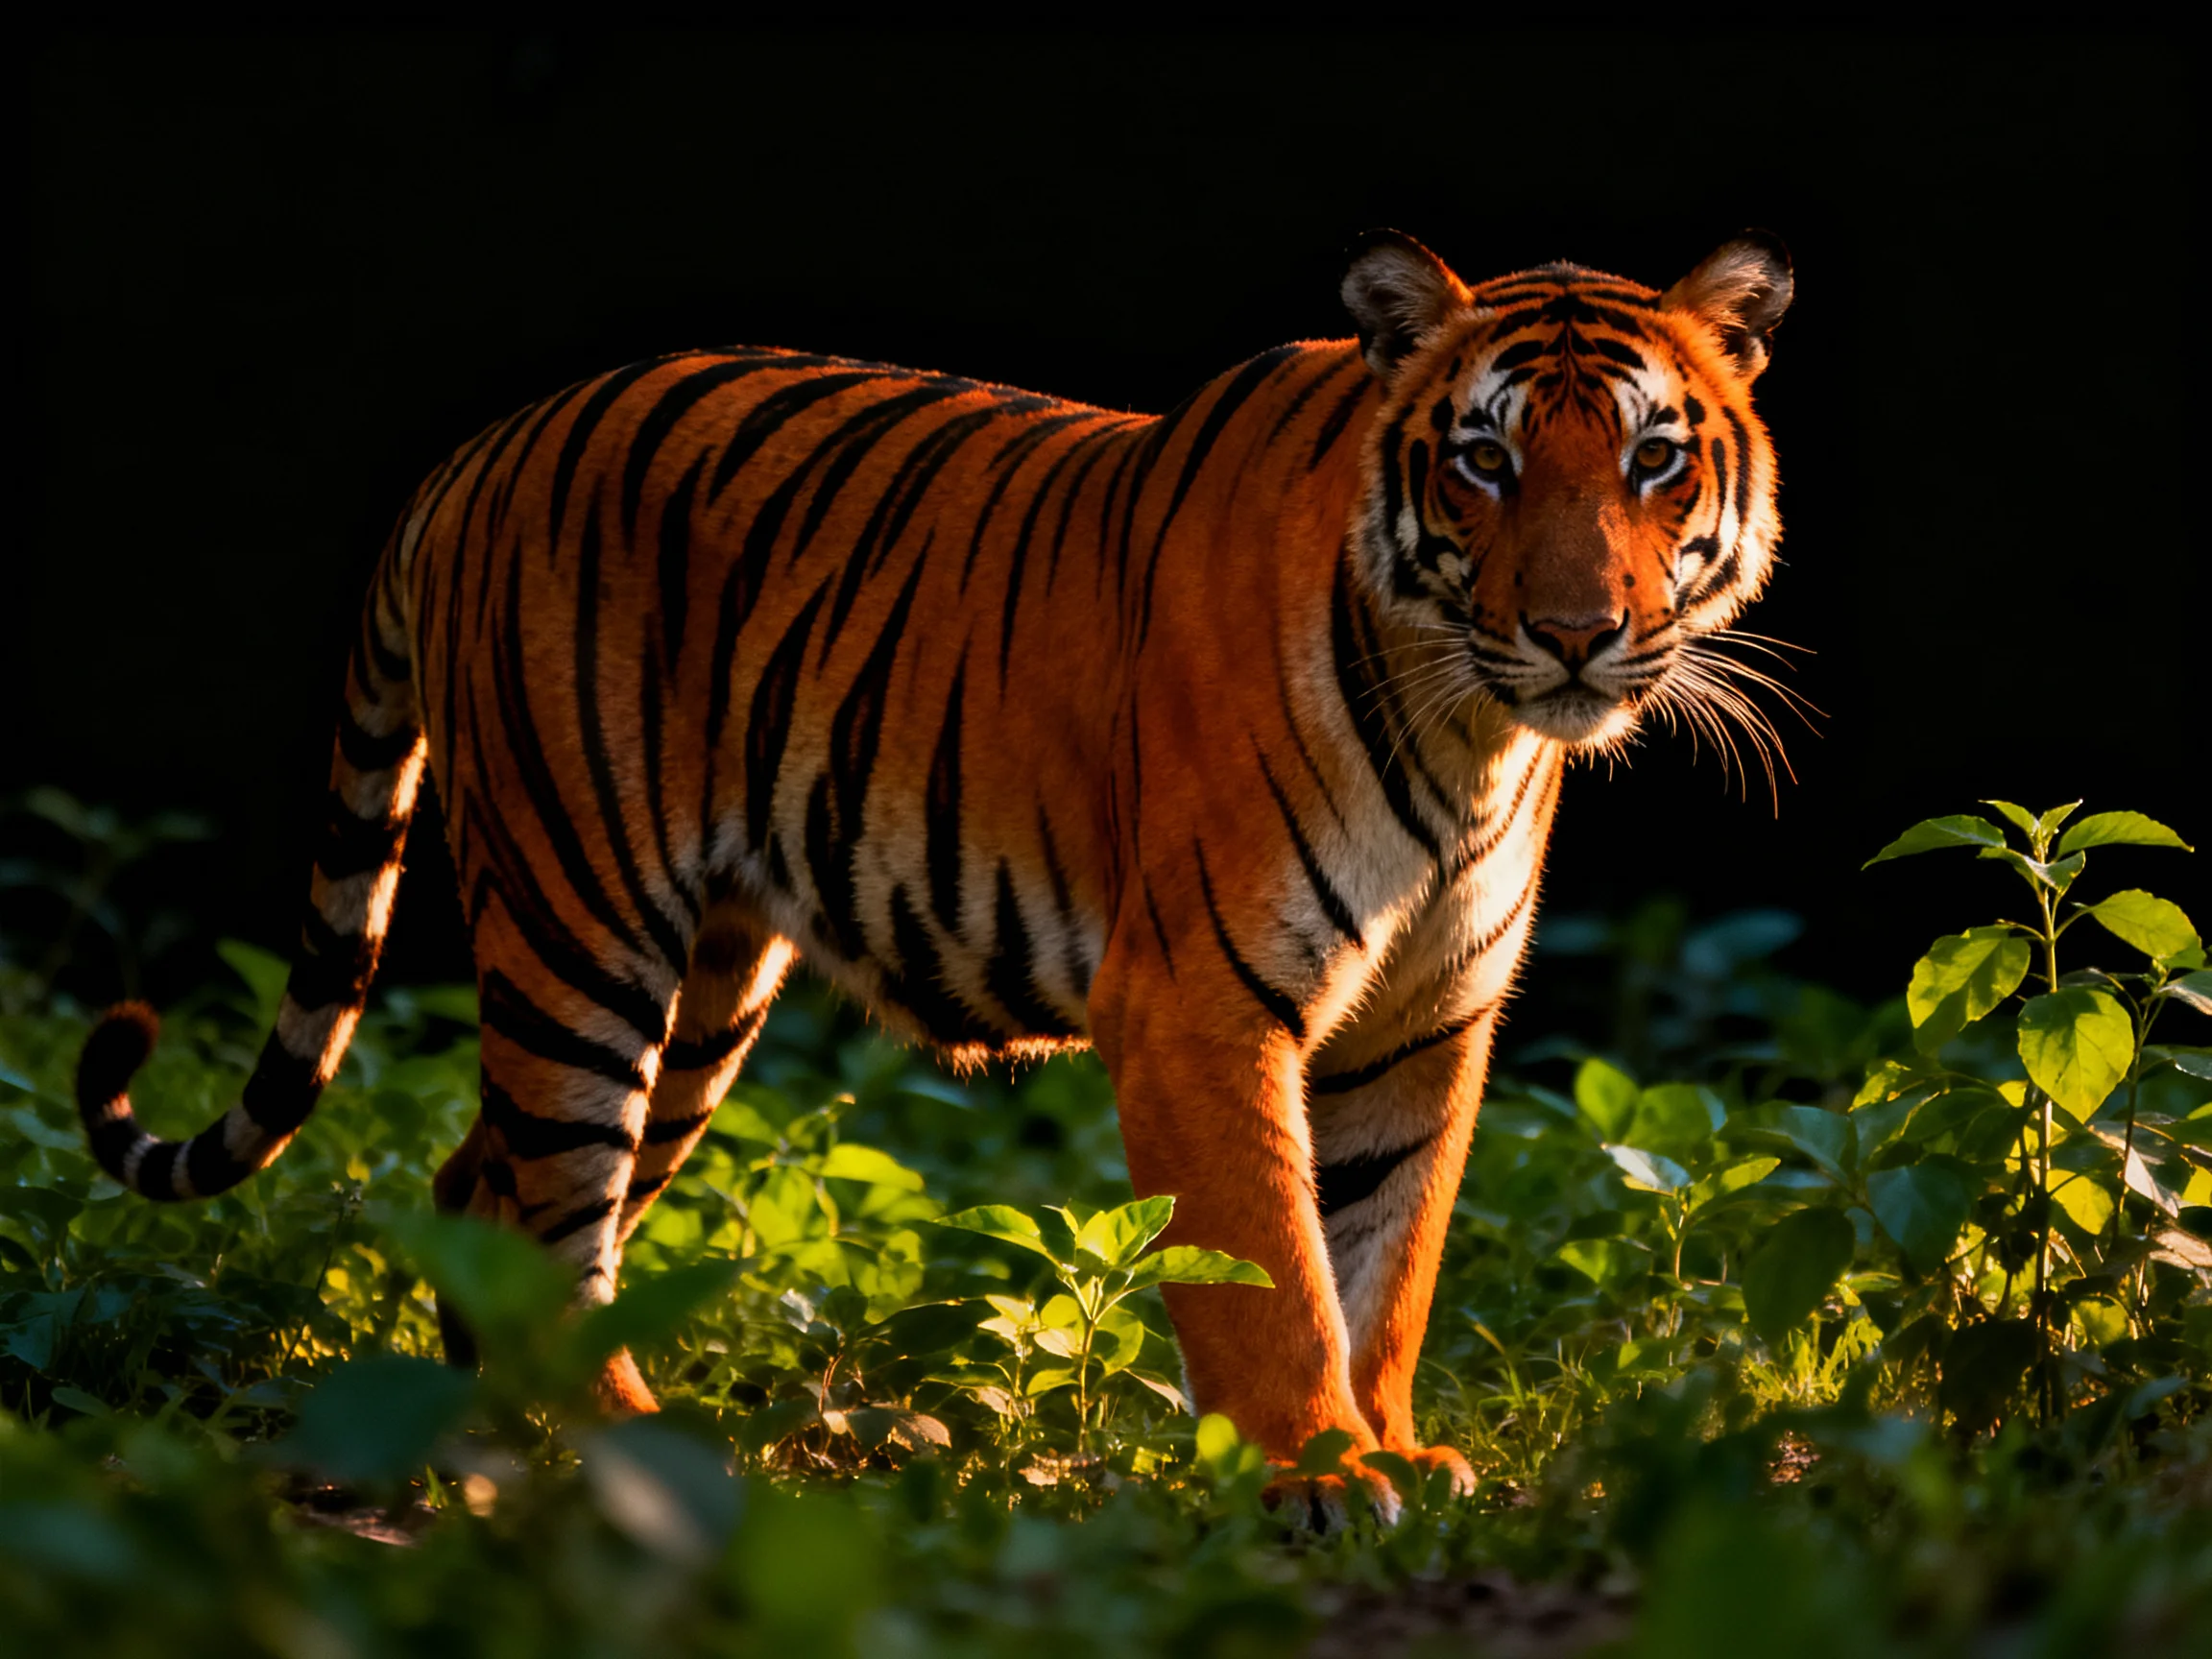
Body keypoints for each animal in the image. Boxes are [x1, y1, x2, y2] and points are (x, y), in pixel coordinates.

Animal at [75, 229, 1792, 1518]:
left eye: (1653, 458)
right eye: (1484, 462)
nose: (1576, 633)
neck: (1472, 733)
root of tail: (477, 450)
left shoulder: (1427, 1023)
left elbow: (1388, 1260)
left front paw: (1396, 1451)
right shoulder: (1199, 1004)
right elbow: (1273, 1266)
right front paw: (1311, 1476)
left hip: (706, 992)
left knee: (476, 1191)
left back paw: (477, 1461)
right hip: (580, 931)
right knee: (549, 1218)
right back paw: (650, 1461)